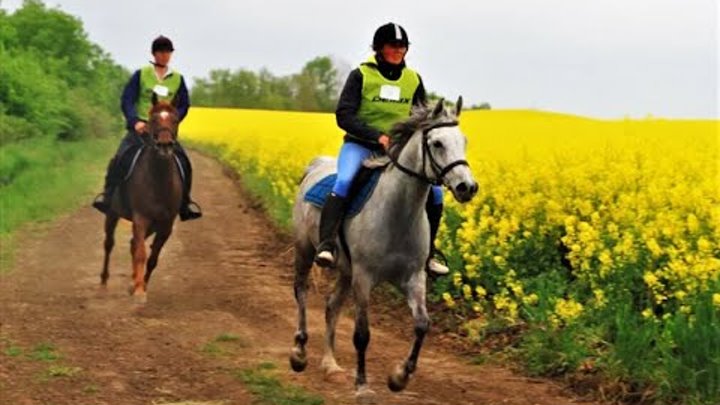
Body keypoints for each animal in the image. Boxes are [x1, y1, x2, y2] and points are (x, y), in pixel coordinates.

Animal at [99, 95, 183, 304]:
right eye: (152, 119)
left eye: (175, 119)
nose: (164, 146)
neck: (159, 180)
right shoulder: (140, 218)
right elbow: (141, 254)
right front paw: (138, 291)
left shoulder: (166, 225)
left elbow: (153, 258)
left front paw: (140, 285)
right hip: (112, 214)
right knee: (109, 244)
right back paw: (103, 284)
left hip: (153, 225)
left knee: (132, 243)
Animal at [286, 97, 478, 398]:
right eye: (437, 143)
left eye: (464, 140)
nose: (467, 187)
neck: (399, 212)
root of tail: (316, 166)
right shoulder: (364, 278)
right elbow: (362, 334)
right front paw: (363, 385)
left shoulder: (414, 277)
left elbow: (422, 325)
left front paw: (399, 377)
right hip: (305, 250)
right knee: (301, 292)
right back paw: (299, 353)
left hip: (346, 270)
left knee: (331, 306)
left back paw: (330, 365)